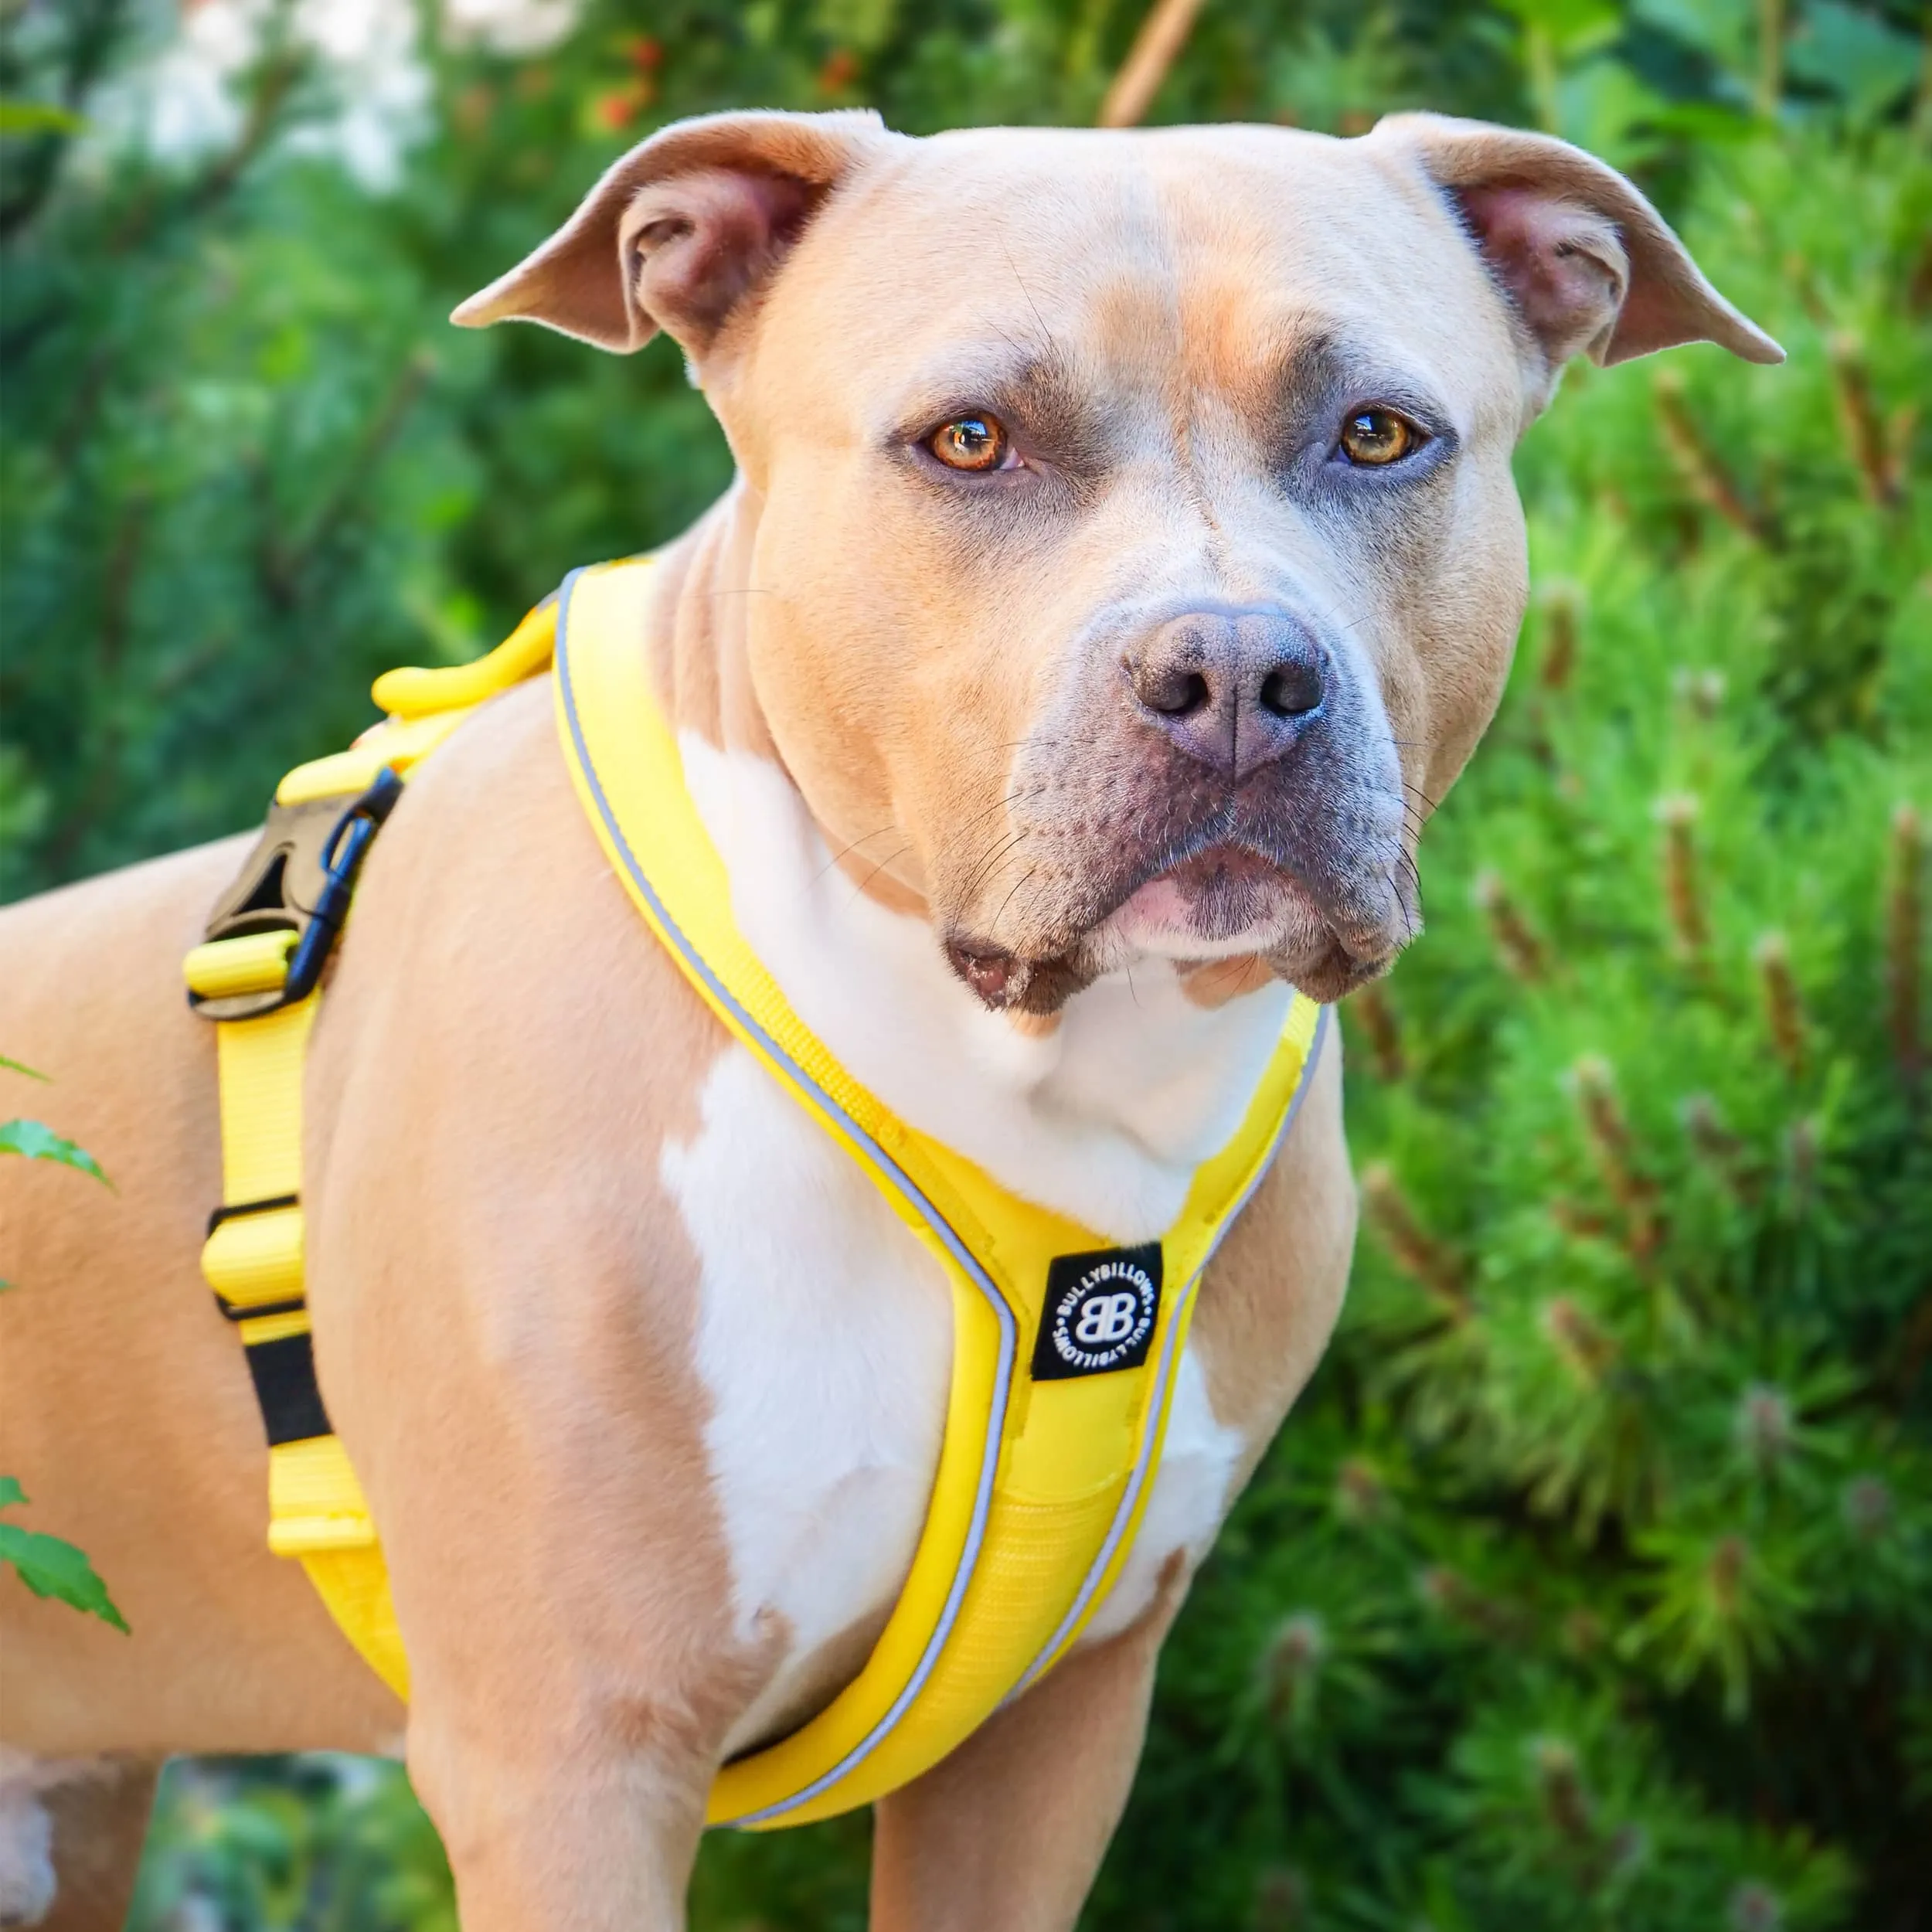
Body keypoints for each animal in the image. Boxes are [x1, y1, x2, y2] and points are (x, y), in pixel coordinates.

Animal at [3, 109, 1777, 1932]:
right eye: (970, 440)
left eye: (1377, 433)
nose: (1231, 675)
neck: (1039, 1076)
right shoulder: (566, 1765)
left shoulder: (1051, 1733)